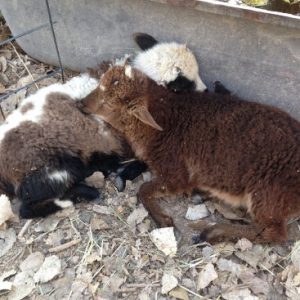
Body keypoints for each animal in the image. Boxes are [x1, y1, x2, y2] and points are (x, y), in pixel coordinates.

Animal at [79, 65, 300, 244]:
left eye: (108, 103)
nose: (81, 104)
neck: (165, 119)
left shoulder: (176, 173)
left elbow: (143, 189)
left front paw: (164, 220)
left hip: (268, 193)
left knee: (273, 232)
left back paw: (211, 233)